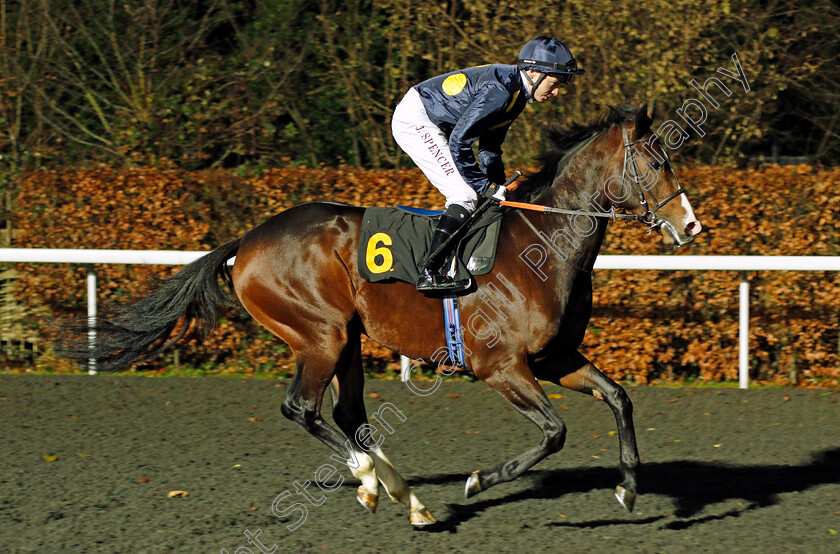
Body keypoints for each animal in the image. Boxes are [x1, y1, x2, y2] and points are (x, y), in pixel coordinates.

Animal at [60, 104, 704, 528]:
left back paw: (405, 497)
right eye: (654, 162)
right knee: (302, 408)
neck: (543, 244)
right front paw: (478, 480)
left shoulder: (555, 358)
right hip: (319, 334)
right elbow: (554, 433)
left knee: (348, 413)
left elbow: (619, 399)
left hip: (347, 338)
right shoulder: (500, 366)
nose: (691, 226)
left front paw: (628, 490)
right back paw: (371, 480)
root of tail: (248, 239)